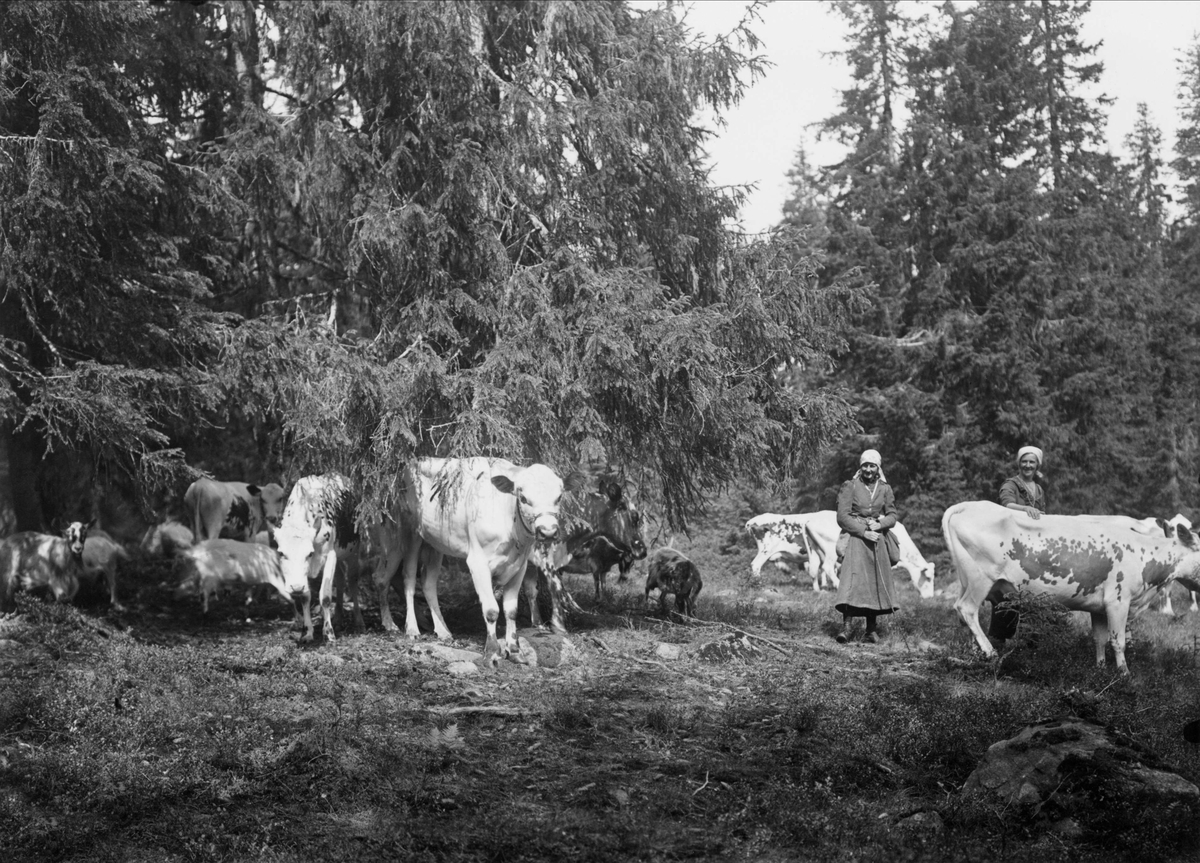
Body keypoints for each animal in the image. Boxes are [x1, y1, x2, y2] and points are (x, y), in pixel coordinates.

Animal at [273, 472, 360, 643]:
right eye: (281, 553)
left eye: (309, 553)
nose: (296, 587)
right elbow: (305, 598)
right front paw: (307, 632)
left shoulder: (330, 555)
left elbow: (325, 596)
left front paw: (328, 633)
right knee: (340, 581)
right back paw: (338, 618)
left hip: (353, 552)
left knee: (352, 580)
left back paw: (358, 621)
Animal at [374, 456, 580, 667]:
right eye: (523, 498)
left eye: (559, 497)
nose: (548, 532)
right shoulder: (477, 563)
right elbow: (491, 610)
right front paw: (492, 653)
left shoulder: (520, 566)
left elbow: (511, 610)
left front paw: (514, 651)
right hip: (403, 537)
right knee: (397, 578)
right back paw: (403, 627)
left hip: (434, 544)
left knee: (427, 583)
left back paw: (442, 630)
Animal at [940, 499, 1200, 676]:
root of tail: (969, 505)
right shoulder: (1118, 601)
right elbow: (1118, 640)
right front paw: (1124, 674)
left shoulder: (1099, 608)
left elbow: (1099, 639)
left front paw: (1099, 669)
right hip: (980, 578)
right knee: (967, 609)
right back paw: (991, 653)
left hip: (967, 579)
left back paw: (975, 656)